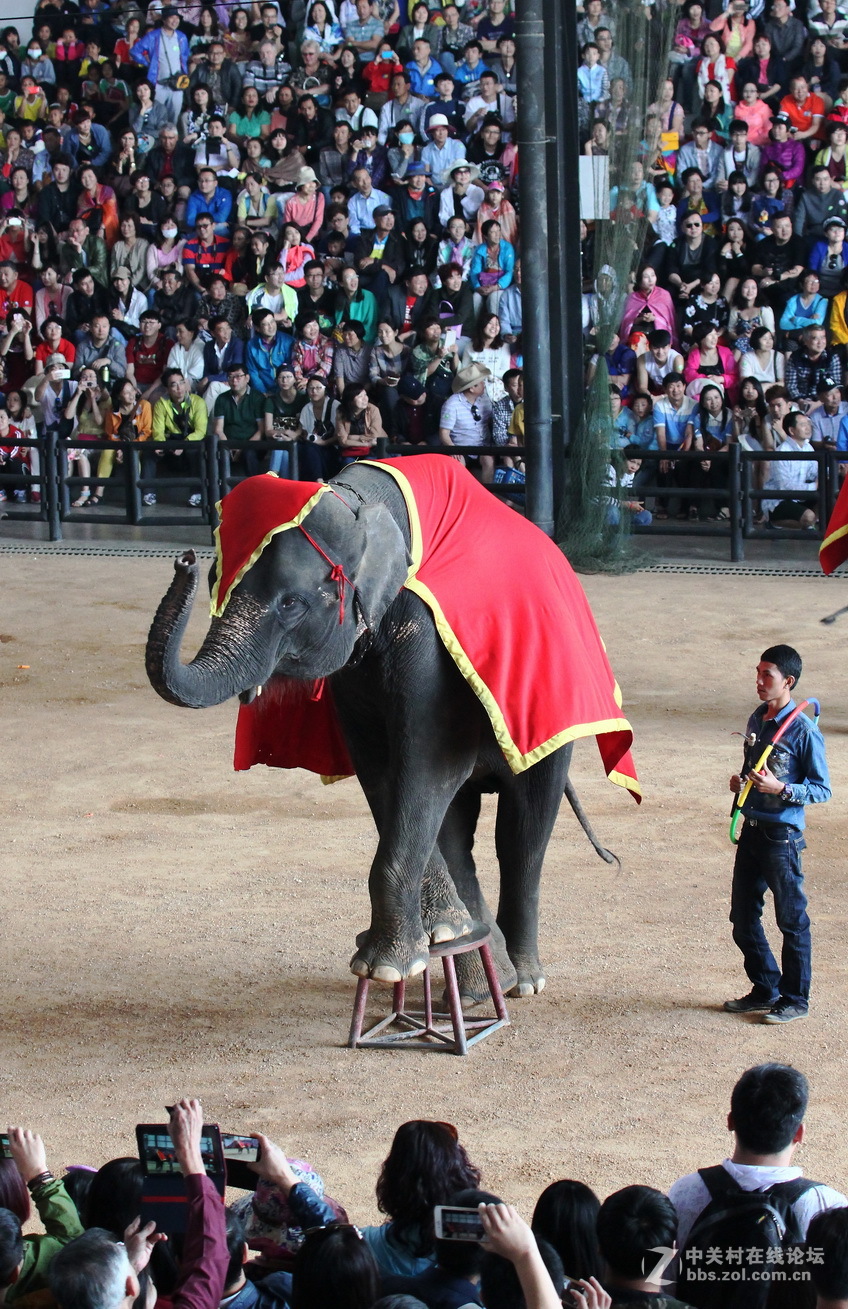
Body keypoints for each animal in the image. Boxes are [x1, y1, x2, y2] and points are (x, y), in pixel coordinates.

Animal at [145, 455, 638, 994]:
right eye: (217, 580)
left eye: (291, 603)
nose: (184, 560)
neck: (355, 501)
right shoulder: (353, 670)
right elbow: (384, 771)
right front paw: (439, 936)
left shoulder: (424, 634)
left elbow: (428, 766)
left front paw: (384, 966)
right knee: (458, 826)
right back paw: (475, 973)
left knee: (523, 833)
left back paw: (522, 980)